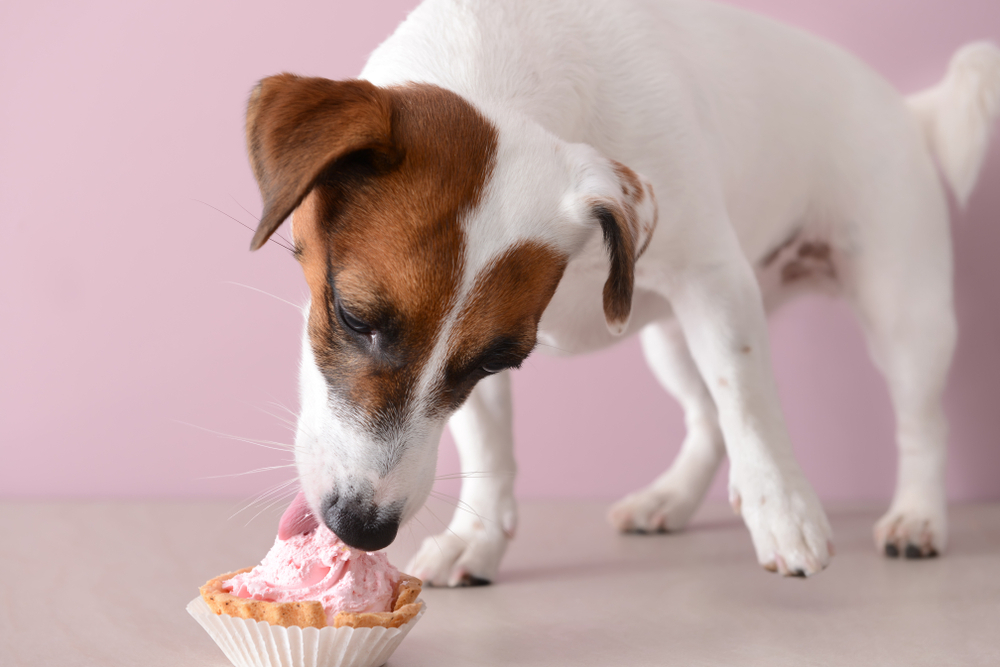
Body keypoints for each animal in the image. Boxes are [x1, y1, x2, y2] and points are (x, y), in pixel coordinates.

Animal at [248, 0, 1000, 584]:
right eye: (352, 316)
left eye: (494, 360)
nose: (361, 527)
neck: (505, 70)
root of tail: (908, 110)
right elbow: (490, 447)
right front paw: (478, 535)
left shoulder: (714, 278)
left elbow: (748, 401)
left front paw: (783, 506)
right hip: (670, 337)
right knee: (704, 419)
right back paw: (669, 498)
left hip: (905, 315)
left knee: (920, 423)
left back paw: (917, 515)